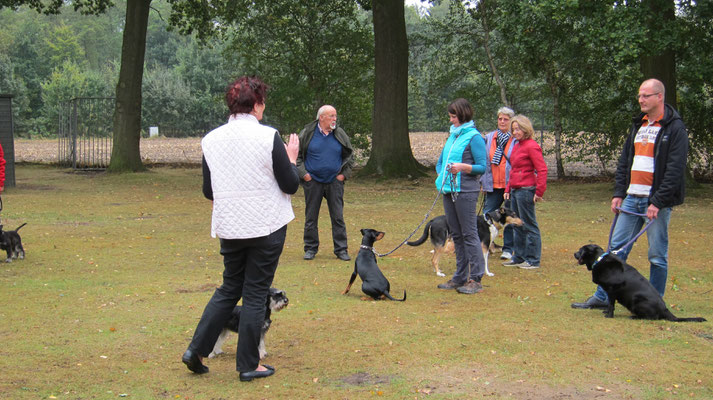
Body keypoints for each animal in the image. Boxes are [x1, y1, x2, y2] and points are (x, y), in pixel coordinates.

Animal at [572, 244, 708, 322]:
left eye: (580, 250)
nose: (574, 253)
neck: (599, 260)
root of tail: (665, 309)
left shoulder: (612, 290)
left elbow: (611, 305)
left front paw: (609, 315)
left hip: (636, 299)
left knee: (652, 317)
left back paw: (634, 316)